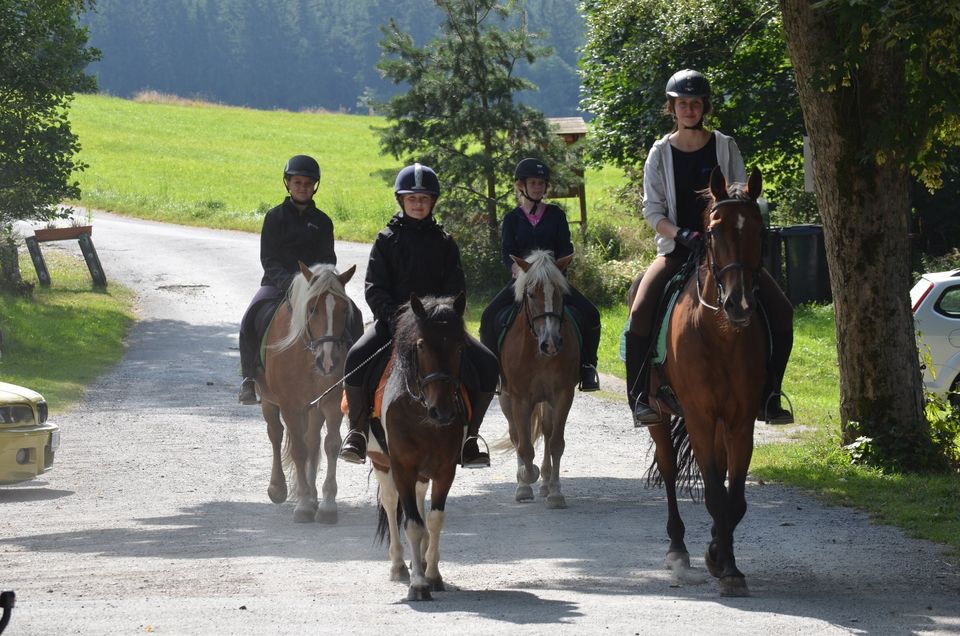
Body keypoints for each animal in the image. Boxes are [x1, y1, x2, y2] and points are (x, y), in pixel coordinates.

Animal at [255, 260, 360, 524]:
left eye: (344, 310)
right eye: (312, 309)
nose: (328, 361)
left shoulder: (331, 402)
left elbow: (330, 445)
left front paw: (327, 505)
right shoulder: (290, 406)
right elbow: (298, 450)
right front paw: (302, 505)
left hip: (314, 407)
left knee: (312, 440)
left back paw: (313, 497)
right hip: (270, 402)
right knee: (276, 434)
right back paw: (278, 488)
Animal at [498, 251, 580, 510]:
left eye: (561, 293)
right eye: (532, 294)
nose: (551, 343)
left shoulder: (563, 395)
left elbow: (556, 443)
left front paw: (555, 492)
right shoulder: (520, 399)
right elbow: (524, 445)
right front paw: (525, 479)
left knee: (546, 430)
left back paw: (545, 483)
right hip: (506, 399)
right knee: (516, 435)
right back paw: (524, 479)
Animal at [632, 165, 772, 596]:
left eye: (759, 230)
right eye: (711, 232)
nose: (739, 304)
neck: (720, 332)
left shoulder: (739, 421)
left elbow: (733, 498)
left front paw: (722, 559)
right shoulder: (698, 417)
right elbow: (712, 492)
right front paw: (724, 566)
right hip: (661, 416)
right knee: (668, 469)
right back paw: (677, 548)